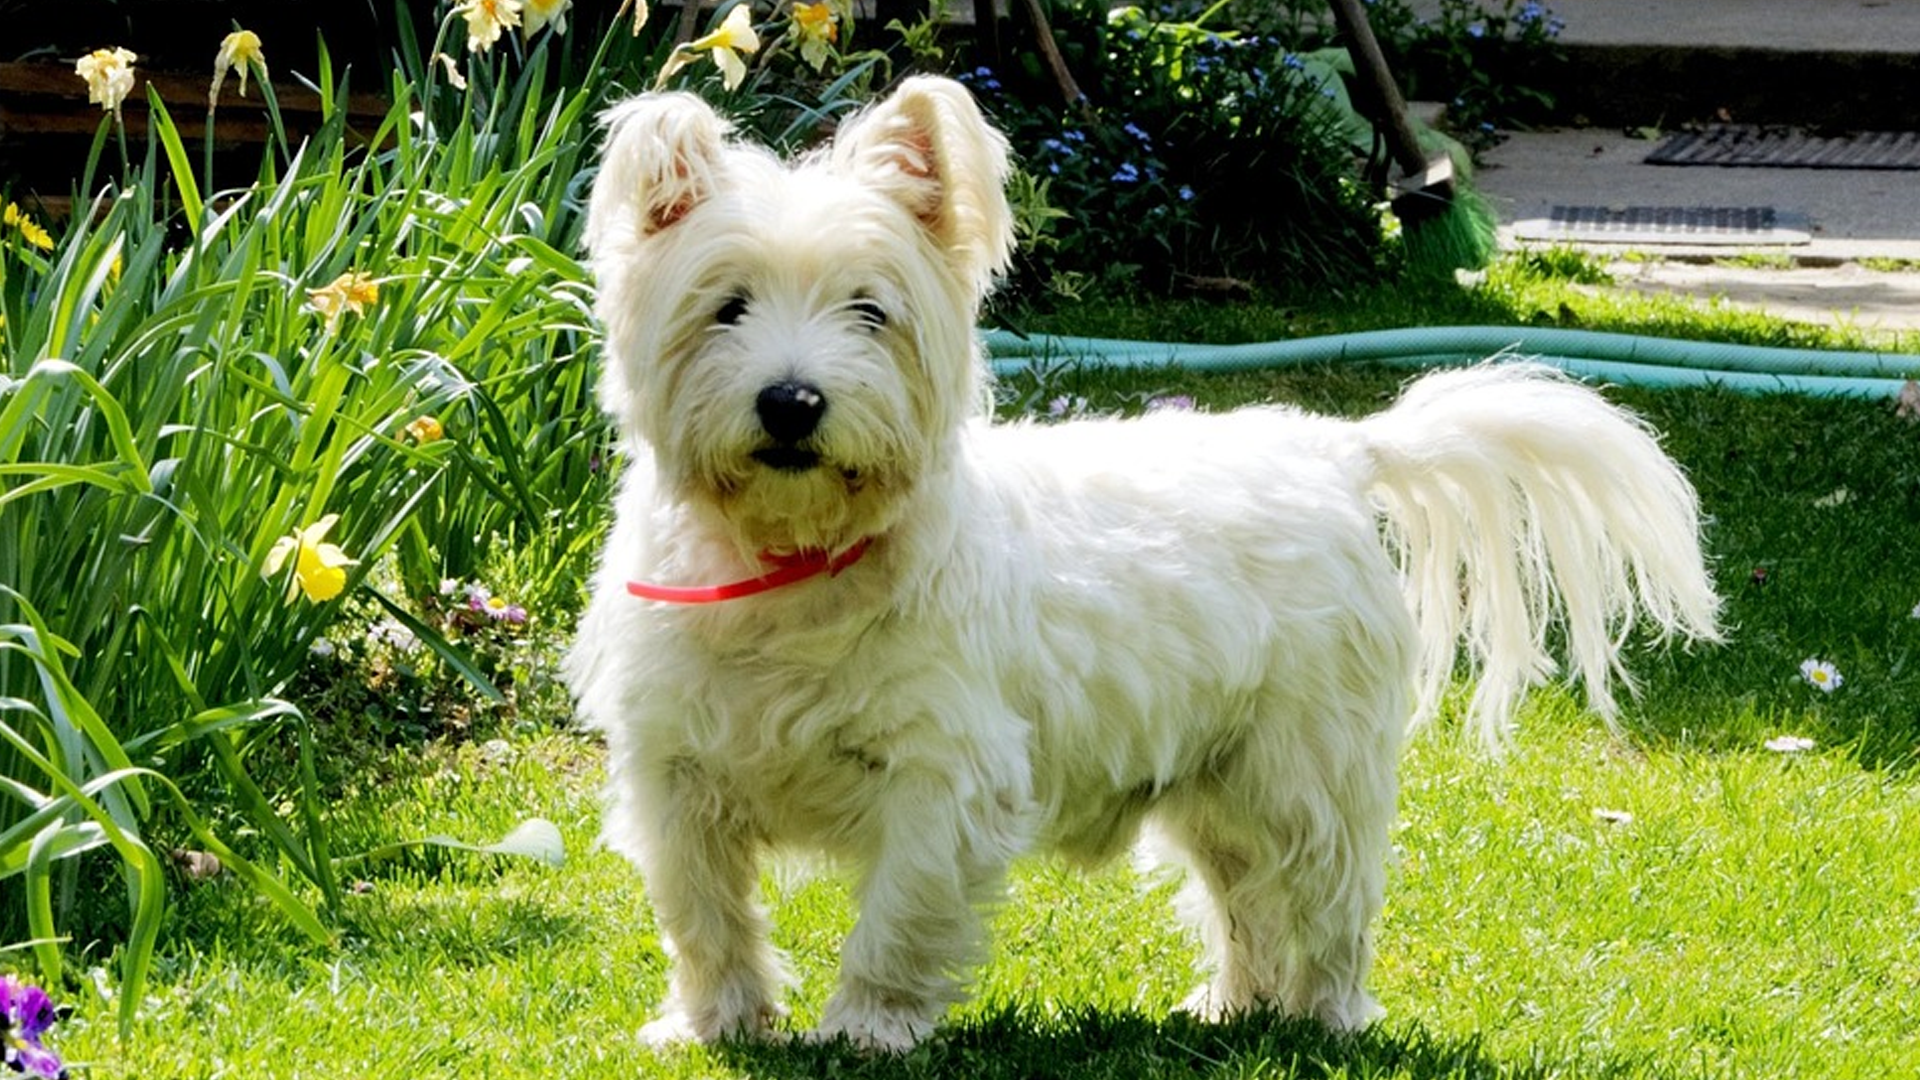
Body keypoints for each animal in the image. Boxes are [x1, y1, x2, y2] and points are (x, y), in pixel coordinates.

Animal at [568, 77, 1728, 1053]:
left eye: (871, 311)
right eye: (726, 306)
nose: (793, 401)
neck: (794, 565)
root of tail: (1338, 450)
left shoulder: (942, 777)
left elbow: (898, 914)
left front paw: (867, 1028)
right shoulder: (676, 775)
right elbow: (705, 915)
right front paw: (714, 1025)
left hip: (1306, 768)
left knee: (1329, 898)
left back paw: (1326, 1021)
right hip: (1216, 781)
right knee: (1244, 897)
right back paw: (1232, 1008)